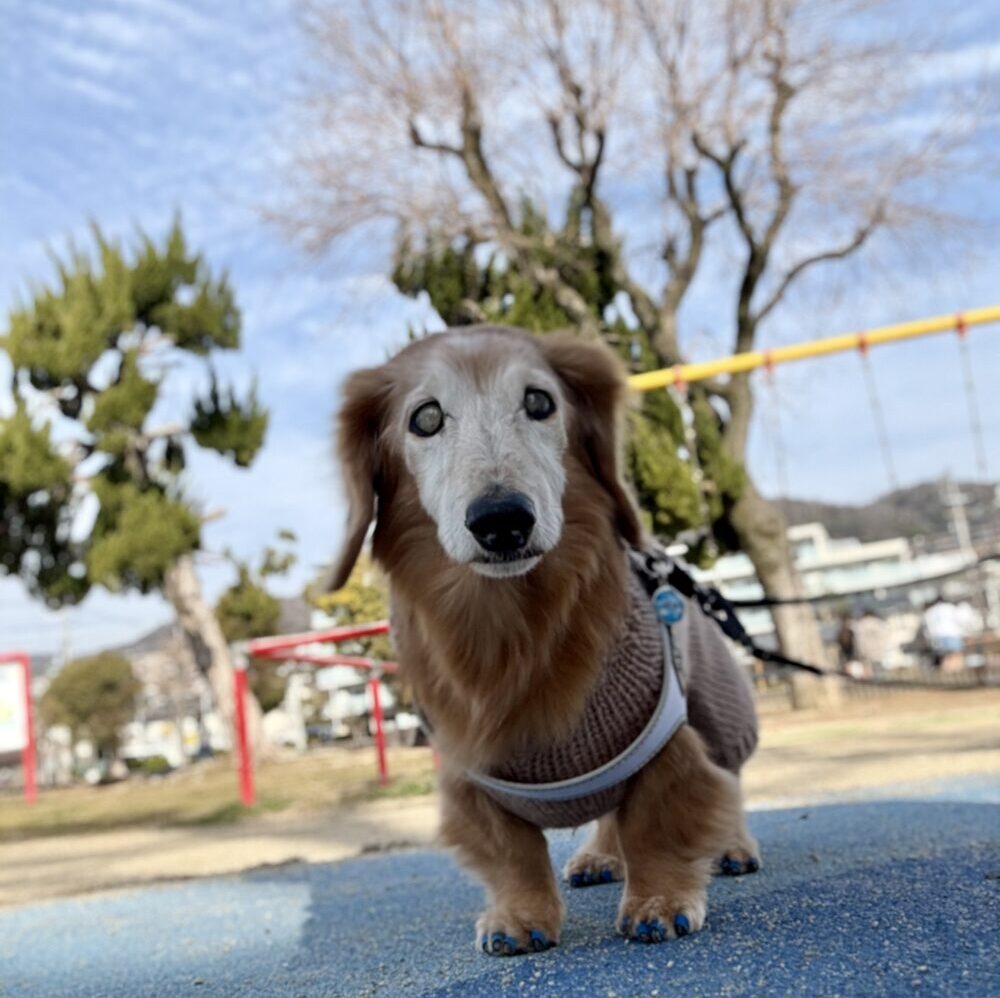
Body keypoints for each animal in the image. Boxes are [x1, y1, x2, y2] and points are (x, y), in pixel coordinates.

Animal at [328, 325, 760, 954]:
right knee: (609, 814)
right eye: (426, 418)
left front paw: (659, 902)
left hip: (721, 712)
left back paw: (732, 846)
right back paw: (600, 857)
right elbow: (513, 852)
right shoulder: (470, 775)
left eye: (539, 402)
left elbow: (657, 823)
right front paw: (520, 917)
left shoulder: (664, 744)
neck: (513, 627)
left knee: (729, 781)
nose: (502, 520)